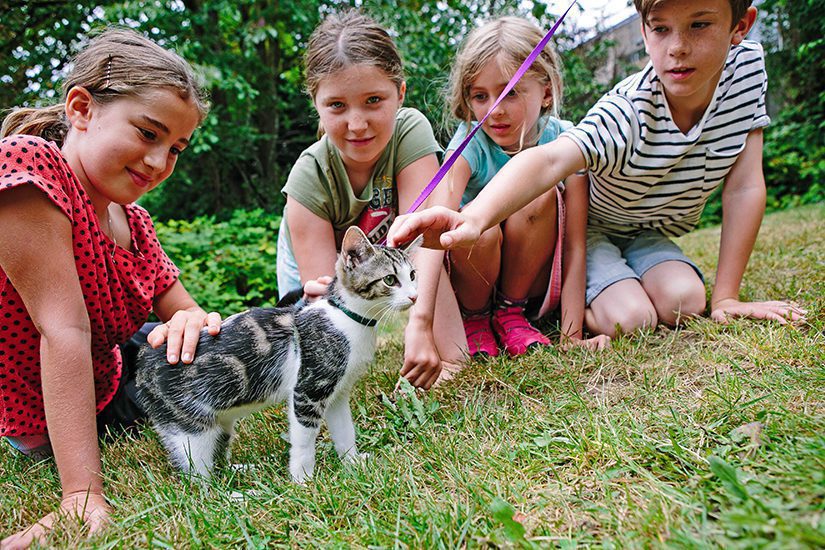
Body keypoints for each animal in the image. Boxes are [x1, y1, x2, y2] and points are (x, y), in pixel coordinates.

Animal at [136, 225, 422, 484]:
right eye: (389, 279)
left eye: (412, 275)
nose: (415, 296)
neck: (347, 319)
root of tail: (144, 360)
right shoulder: (308, 388)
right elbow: (304, 440)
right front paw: (303, 480)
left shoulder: (338, 392)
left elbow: (344, 429)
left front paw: (352, 462)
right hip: (189, 426)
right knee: (199, 483)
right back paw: (233, 496)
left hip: (220, 420)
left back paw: (240, 471)